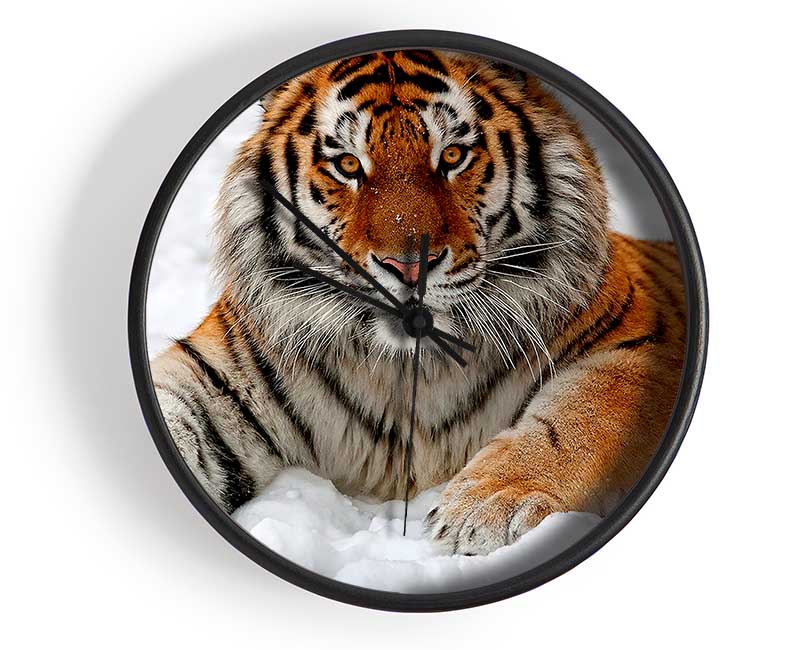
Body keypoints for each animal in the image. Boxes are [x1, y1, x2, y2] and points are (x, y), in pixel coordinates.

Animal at [151, 49, 685, 556]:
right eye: (348, 164)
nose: (408, 267)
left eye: (452, 155)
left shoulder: (639, 345)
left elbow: (578, 421)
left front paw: (489, 507)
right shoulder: (218, 376)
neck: (411, 366)